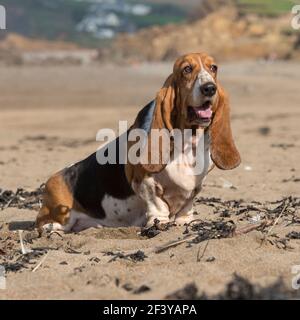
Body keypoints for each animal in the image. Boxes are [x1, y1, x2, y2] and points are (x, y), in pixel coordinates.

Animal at [35, 52, 241, 232]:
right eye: (187, 69)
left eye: (213, 68)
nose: (209, 88)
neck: (187, 141)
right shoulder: (143, 181)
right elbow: (157, 205)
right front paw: (160, 223)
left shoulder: (196, 186)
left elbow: (187, 204)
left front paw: (186, 222)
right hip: (61, 212)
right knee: (45, 224)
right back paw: (50, 228)